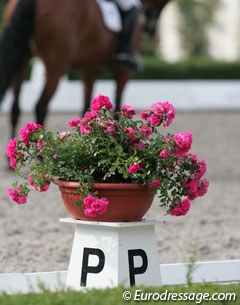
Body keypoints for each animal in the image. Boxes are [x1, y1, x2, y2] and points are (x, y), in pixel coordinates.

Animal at [0, 0, 171, 137]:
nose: (150, 27)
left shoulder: (90, 70)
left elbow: (87, 108)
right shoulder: (123, 72)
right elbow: (118, 109)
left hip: (22, 60)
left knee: (16, 107)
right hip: (56, 65)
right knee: (41, 106)